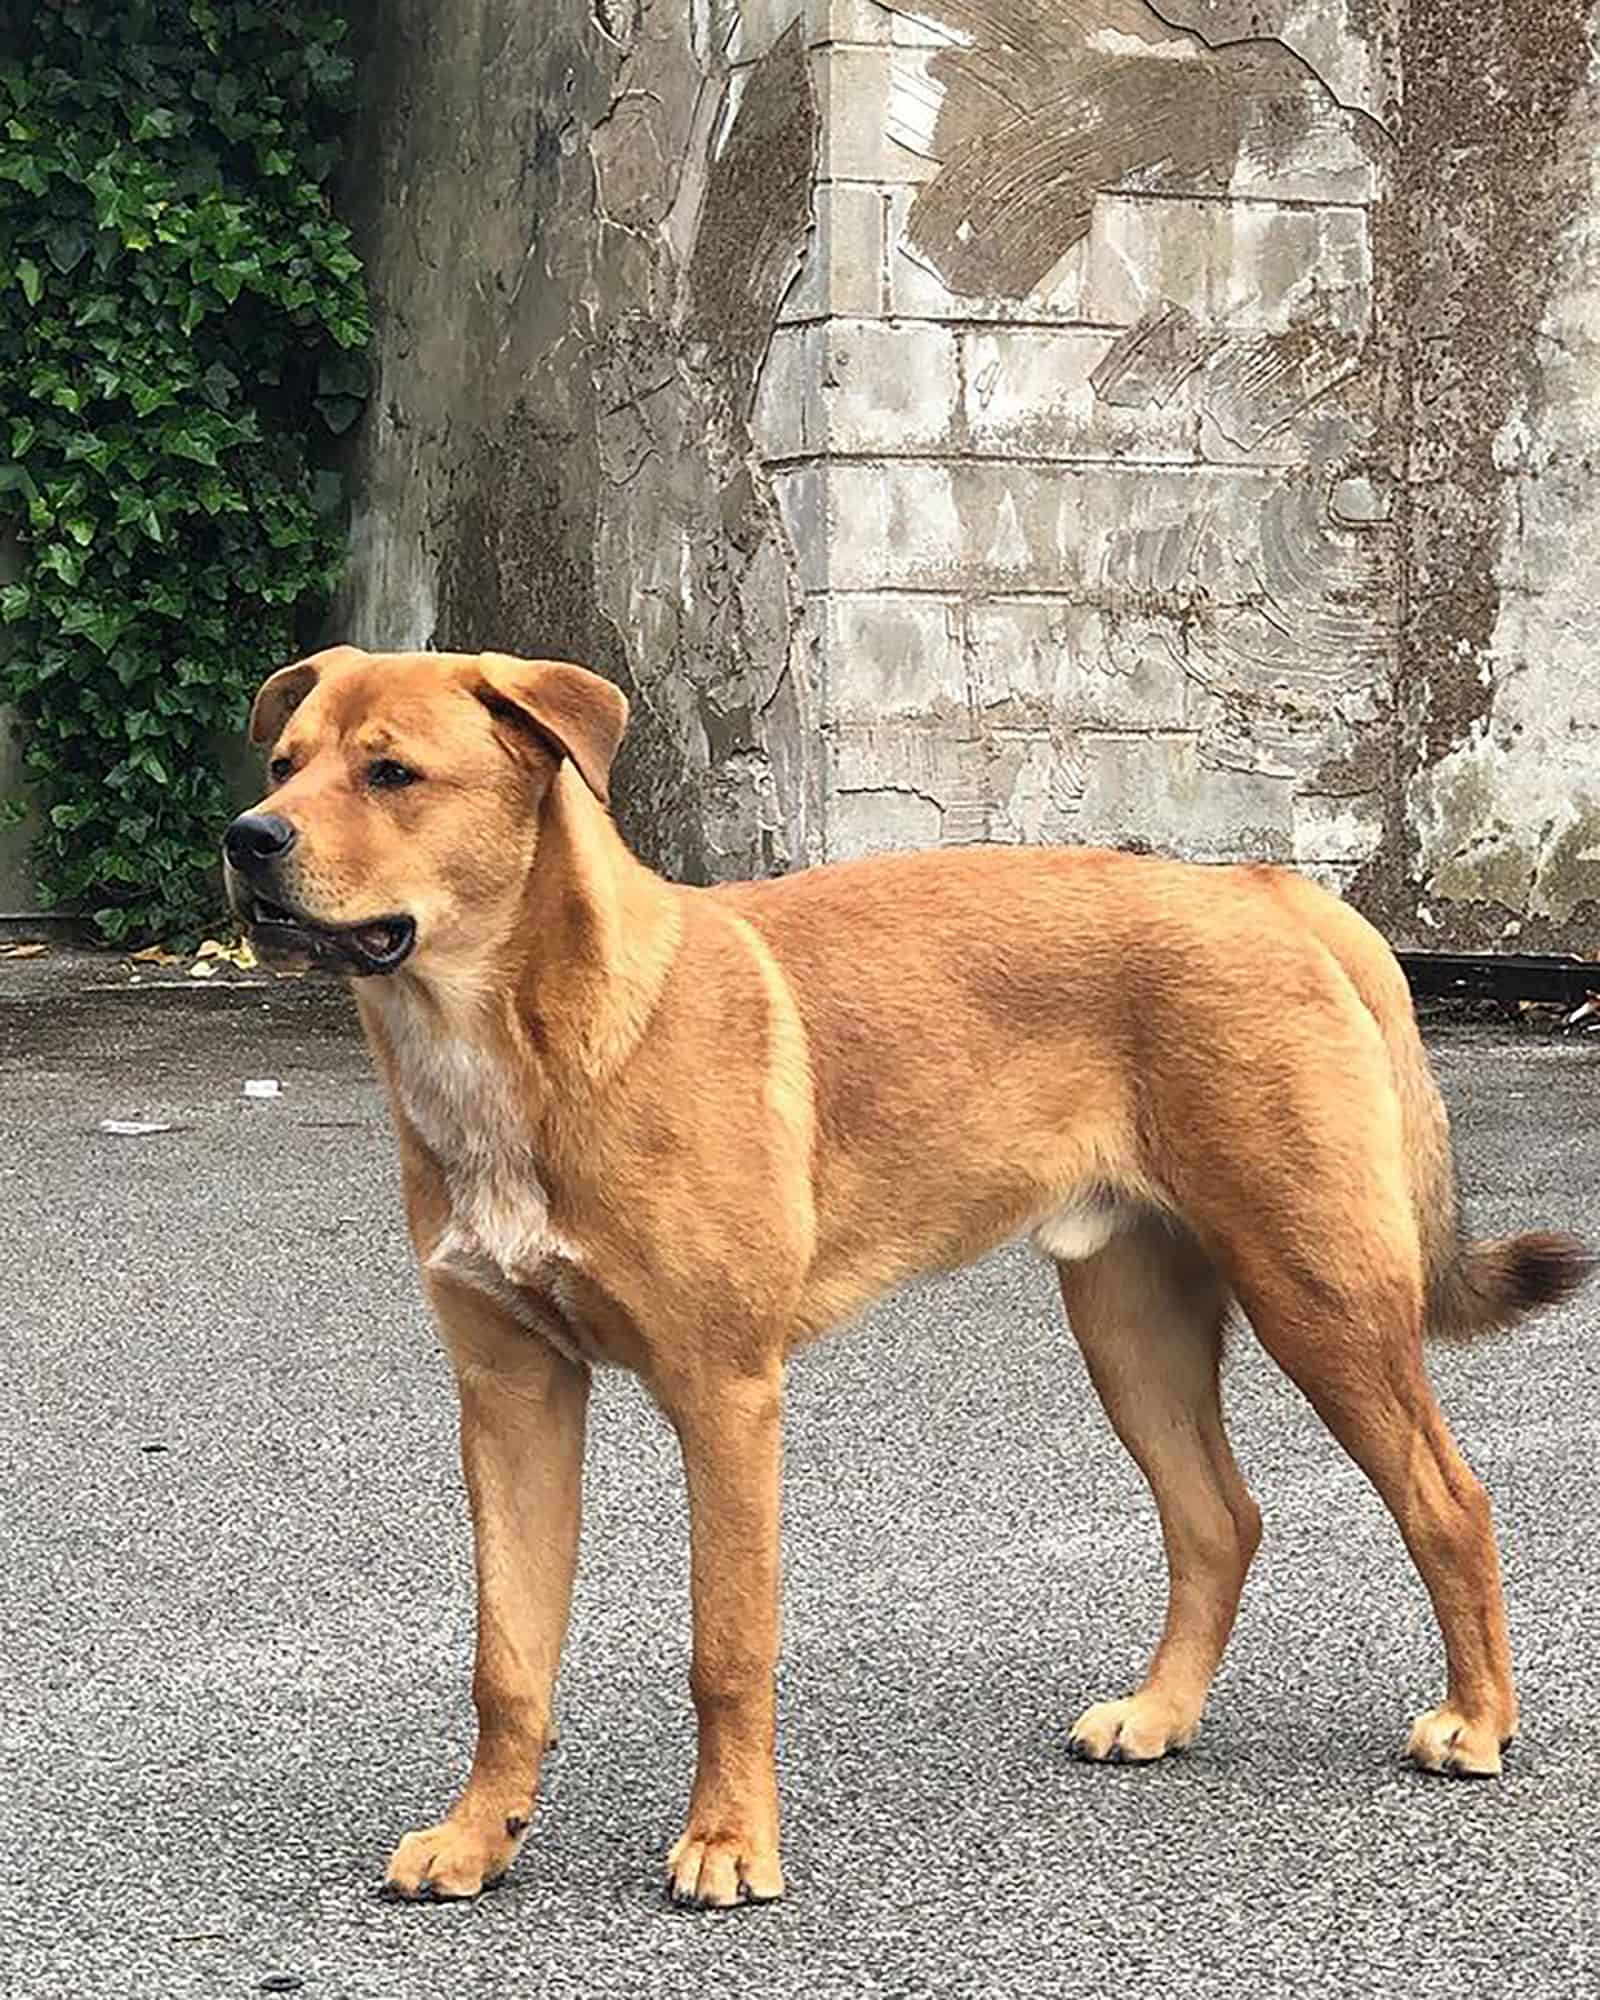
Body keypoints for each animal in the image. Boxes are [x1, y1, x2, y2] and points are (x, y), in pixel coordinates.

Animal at [225, 648, 1584, 1912]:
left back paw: (1476, 1720)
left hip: (1320, 1295)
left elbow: (725, 1645)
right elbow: (505, 1658)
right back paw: (1159, 1710)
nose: (248, 838)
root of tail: (1270, 887)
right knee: (1218, 1517)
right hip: (1130, 1322)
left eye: (393, 774)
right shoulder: (511, 1395)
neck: (524, 1041)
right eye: (285, 762)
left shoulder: (725, 1395)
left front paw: (729, 1842)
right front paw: (478, 1836)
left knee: (1448, 1500)